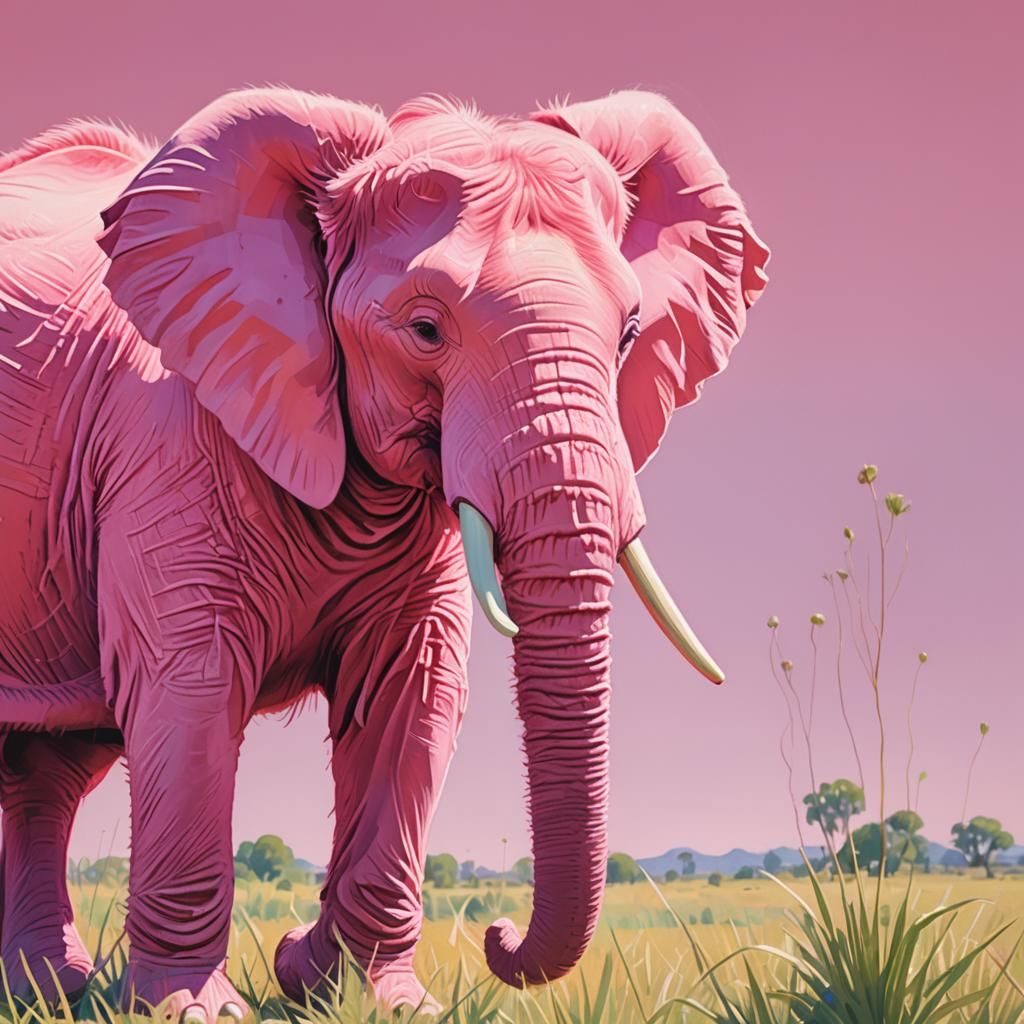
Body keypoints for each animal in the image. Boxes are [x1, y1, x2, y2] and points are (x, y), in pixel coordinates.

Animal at [0, 87, 769, 1020]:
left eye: (626, 335)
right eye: (426, 329)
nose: (496, 934)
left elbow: (414, 693)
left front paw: (370, 999)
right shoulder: (162, 443)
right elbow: (191, 684)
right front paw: (198, 1012)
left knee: (52, 765)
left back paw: (50, 990)